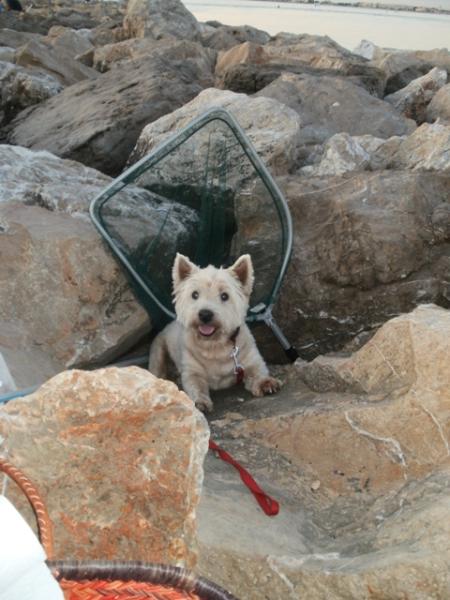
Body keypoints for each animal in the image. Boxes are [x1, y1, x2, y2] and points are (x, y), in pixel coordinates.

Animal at [149, 253, 280, 412]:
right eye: (195, 294)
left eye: (224, 296)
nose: (205, 314)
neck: (214, 345)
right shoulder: (192, 371)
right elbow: (196, 386)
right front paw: (200, 402)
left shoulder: (251, 360)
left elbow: (258, 372)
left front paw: (265, 383)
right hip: (158, 350)